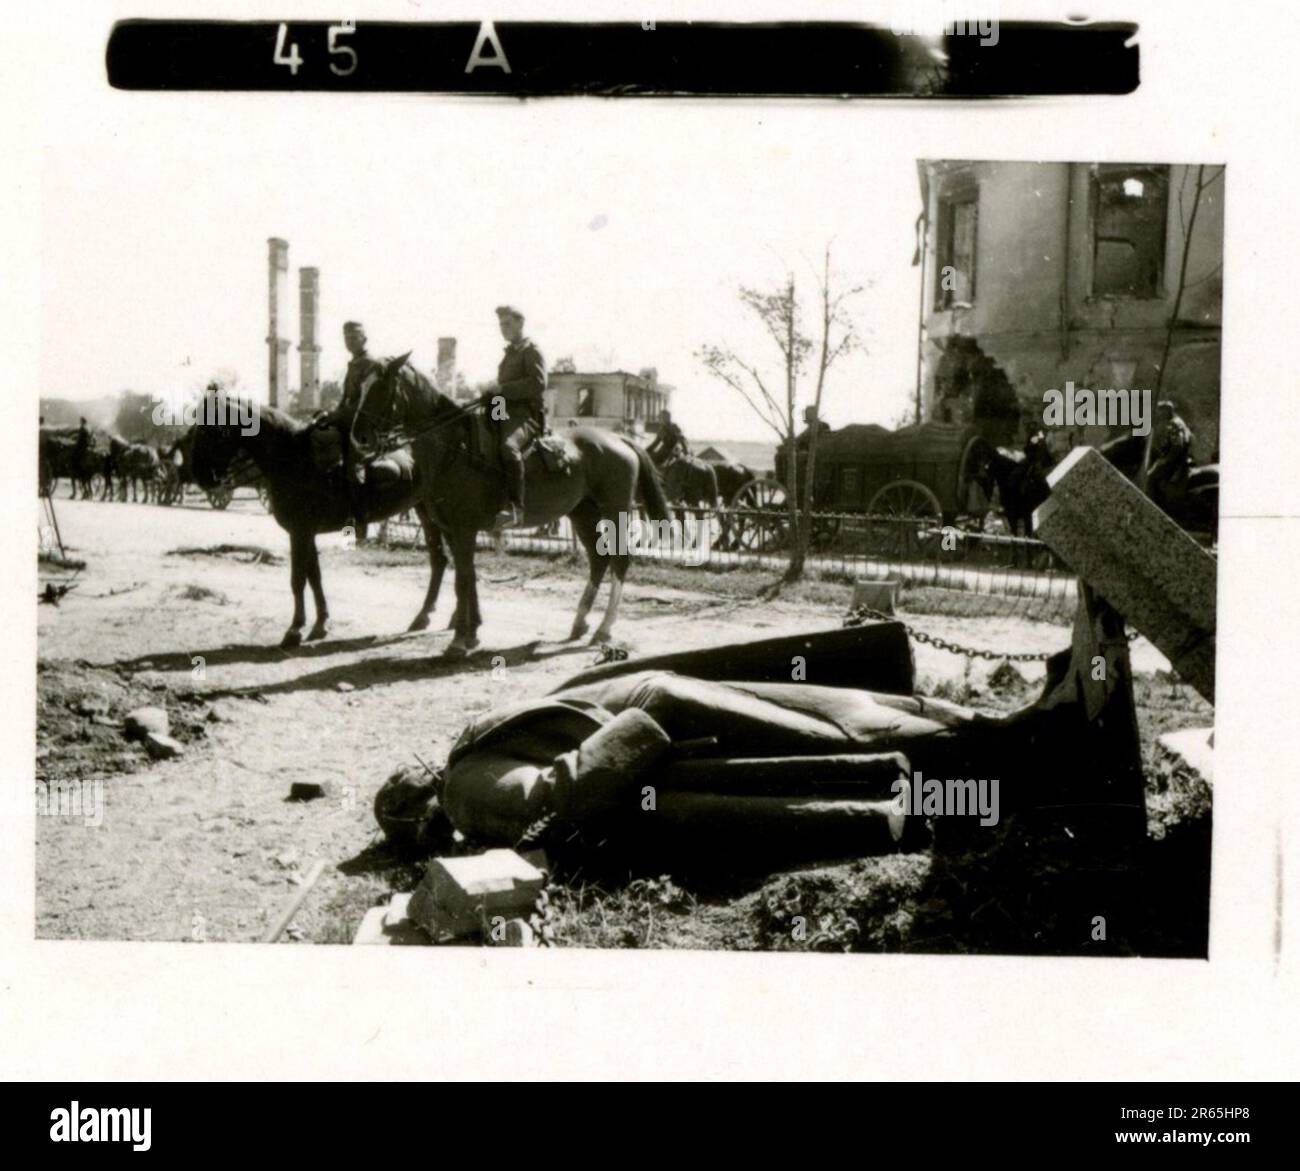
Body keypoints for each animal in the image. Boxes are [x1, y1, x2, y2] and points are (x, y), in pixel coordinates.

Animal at [188, 389, 452, 649]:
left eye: (210, 429)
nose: (201, 476)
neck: (294, 459)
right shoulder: (307, 533)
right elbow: (314, 577)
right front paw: (320, 625)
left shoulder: (300, 532)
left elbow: (298, 579)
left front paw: (294, 630)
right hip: (426, 511)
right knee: (441, 560)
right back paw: (429, 617)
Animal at [366, 353, 670, 657]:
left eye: (379, 388)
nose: (363, 436)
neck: (456, 448)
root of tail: (620, 439)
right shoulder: (450, 528)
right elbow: (466, 575)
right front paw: (470, 632)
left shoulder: (463, 529)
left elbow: (462, 577)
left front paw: (459, 640)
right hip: (583, 513)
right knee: (599, 559)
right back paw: (580, 622)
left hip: (615, 511)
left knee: (620, 559)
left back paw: (603, 629)